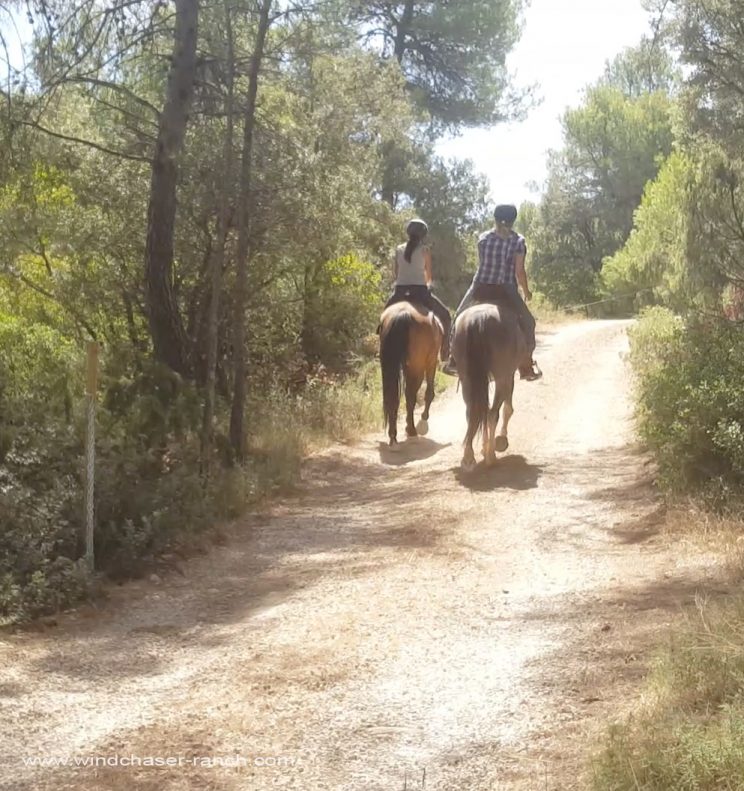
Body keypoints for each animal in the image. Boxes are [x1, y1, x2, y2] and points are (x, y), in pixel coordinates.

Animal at [378, 300, 442, 446]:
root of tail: (403, 314)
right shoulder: (430, 362)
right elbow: (428, 393)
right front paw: (422, 421)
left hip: (389, 365)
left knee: (393, 396)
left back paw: (393, 435)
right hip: (417, 366)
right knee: (410, 395)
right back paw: (412, 430)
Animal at [450, 300, 528, 468]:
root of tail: (479, 319)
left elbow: (483, 409)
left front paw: (483, 447)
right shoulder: (508, 376)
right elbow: (507, 409)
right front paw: (500, 441)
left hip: (467, 378)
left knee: (473, 412)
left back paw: (468, 457)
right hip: (501, 377)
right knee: (492, 413)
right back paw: (491, 455)